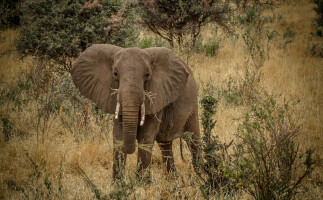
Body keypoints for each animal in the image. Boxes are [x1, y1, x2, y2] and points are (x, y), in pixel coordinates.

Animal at [71, 44, 200, 179]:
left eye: (147, 74)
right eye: (115, 73)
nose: (130, 150)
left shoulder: (157, 97)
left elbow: (146, 136)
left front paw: (140, 181)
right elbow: (118, 135)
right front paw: (118, 182)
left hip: (193, 106)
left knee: (194, 140)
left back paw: (201, 175)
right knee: (165, 143)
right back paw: (172, 179)